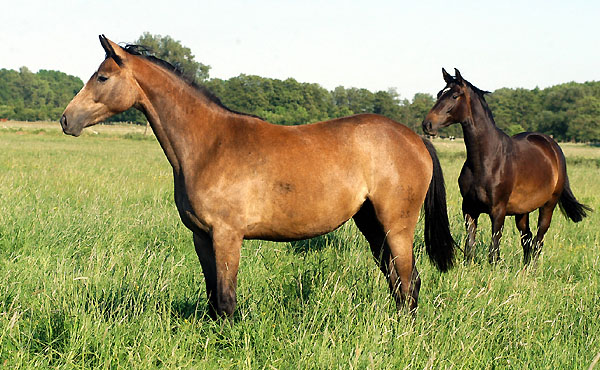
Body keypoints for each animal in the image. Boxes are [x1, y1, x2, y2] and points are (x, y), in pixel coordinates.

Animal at [61, 35, 454, 318]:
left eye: (102, 77)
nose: (67, 119)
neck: (210, 144)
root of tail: (414, 138)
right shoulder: (202, 238)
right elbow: (212, 297)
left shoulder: (227, 236)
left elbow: (226, 299)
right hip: (371, 223)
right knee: (398, 281)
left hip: (396, 225)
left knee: (408, 281)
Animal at [422, 68, 592, 264]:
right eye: (439, 94)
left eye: (455, 95)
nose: (427, 124)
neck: (486, 161)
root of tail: (553, 147)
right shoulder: (469, 208)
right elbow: (470, 248)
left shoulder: (498, 211)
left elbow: (494, 251)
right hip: (522, 212)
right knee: (527, 239)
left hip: (548, 205)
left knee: (538, 241)